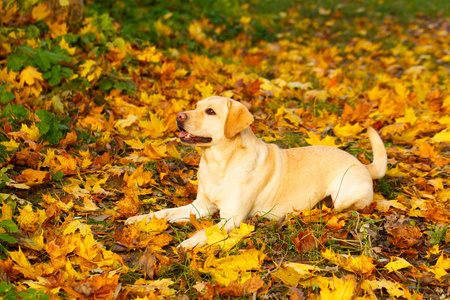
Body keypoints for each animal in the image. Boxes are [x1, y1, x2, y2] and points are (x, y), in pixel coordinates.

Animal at [125, 96, 386, 248]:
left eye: (210, 111)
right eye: (196, 106)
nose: (178, 116)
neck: (218, 163)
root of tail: (364, 164)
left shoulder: (231, 218)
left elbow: (207, 231)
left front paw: (188, 243)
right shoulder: (200, 206)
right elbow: (165, 212)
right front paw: (140, 219)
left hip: (343, 195)